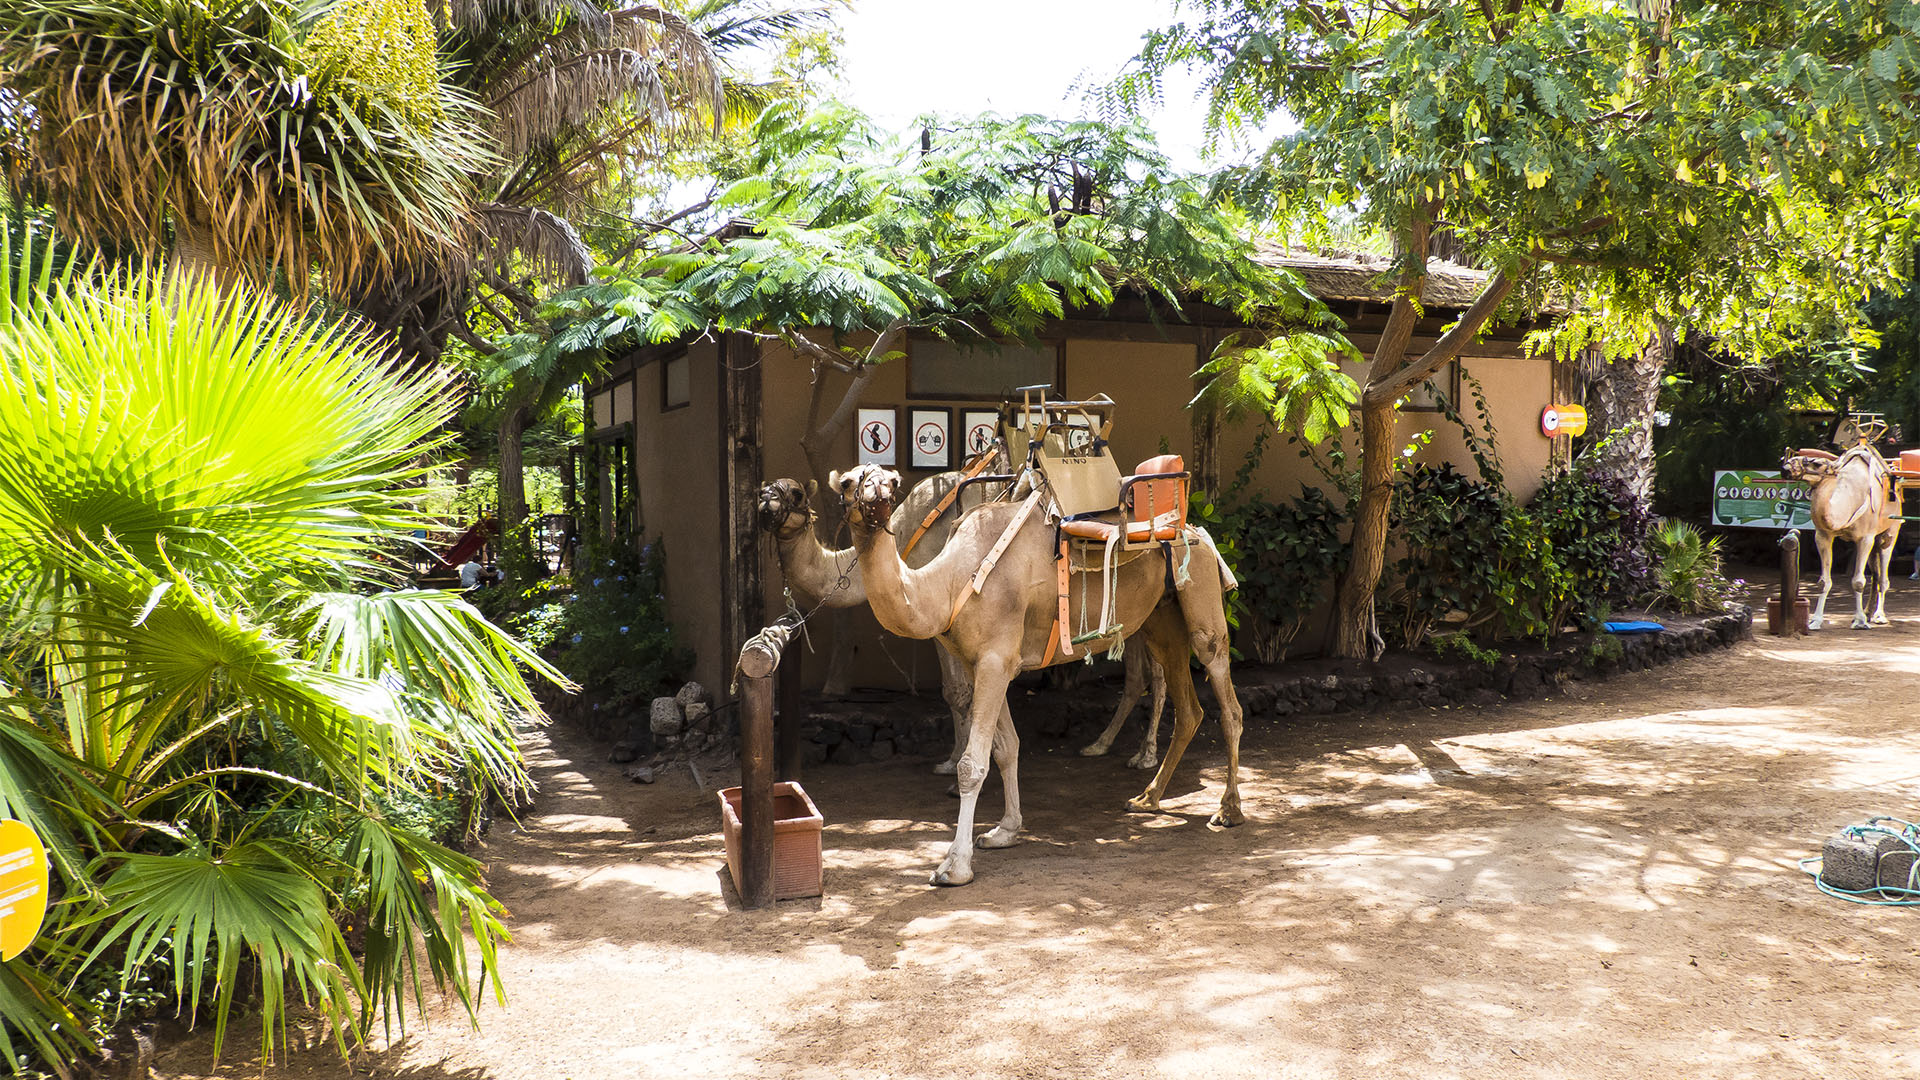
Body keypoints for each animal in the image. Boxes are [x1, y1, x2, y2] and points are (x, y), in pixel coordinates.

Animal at [752, 474, 1167, 768]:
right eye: (763, 489)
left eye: (796, 494)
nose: (765, 501)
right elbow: (957, 691)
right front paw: (953, 759)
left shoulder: (943, 620)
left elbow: (957, 691)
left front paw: (954, 768)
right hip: (1136, 613)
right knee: (1137, 675)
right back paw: (1102, 745)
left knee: (1158, 676)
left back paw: (1146, 756)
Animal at [829, 461, 1244, 883]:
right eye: (847, 482)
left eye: (892, 482)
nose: (877, 493)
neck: (949, 583)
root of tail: (1196, 531)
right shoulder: (984, 664)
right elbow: (1006, 748)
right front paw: (1005, 830)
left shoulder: (995, 659)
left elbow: (972, 764)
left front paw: (954, 865)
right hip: (1162, 618)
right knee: (1190, 709)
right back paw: (1147, 798)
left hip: (1201, 602)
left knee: (1228, 702)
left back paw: (1228, 809)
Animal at [1781, 443, 1904, 626]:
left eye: (1817, 463)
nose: (1785, 467)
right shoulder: (1823, 535)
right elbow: (1823, 582)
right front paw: (1816, 620)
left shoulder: (1865, 538)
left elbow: (1858, 581)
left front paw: (1859, 621)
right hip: (1874, 541)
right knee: (1875, 575)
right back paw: (1868, 612)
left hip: (1890, 532)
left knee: (1883, 576)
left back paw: (1879, 615)